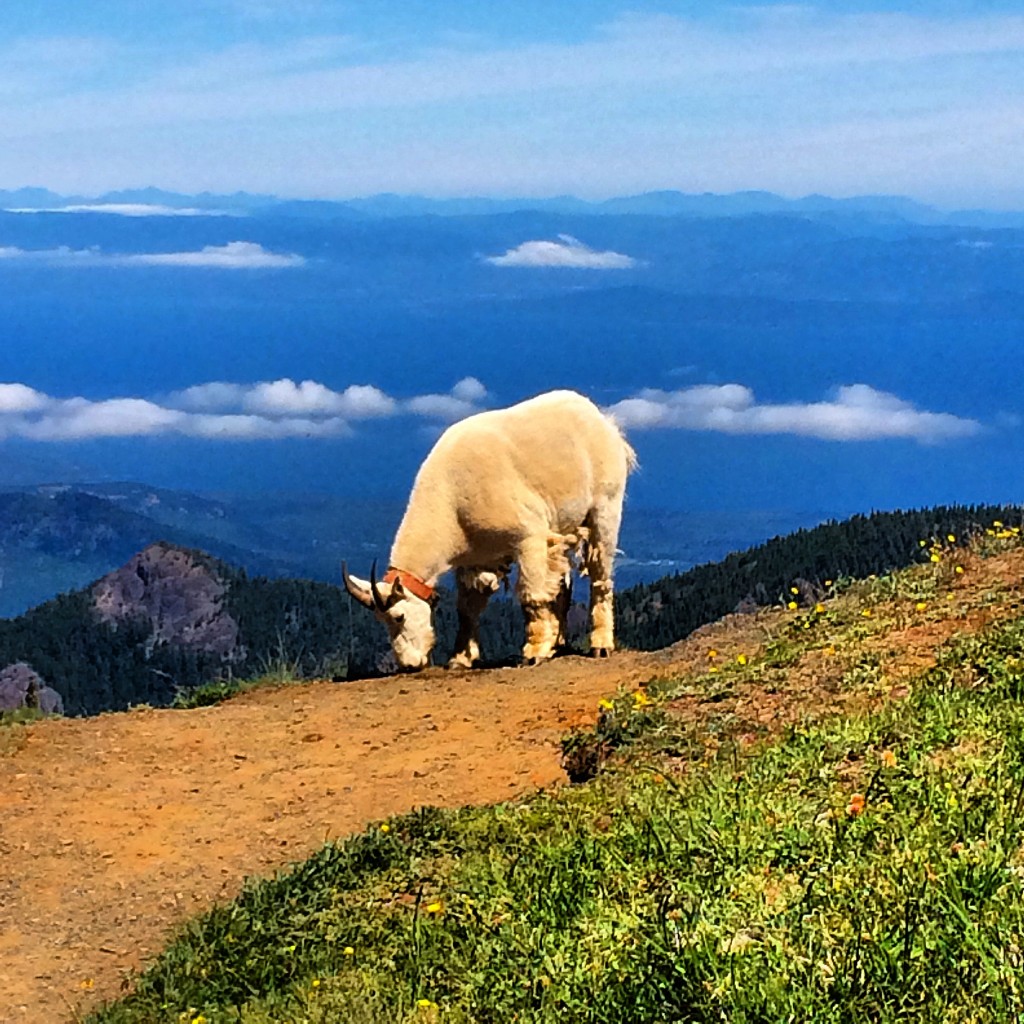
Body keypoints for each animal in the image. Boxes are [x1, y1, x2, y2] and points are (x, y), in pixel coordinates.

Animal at [342, 389, 630, 671]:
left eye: (399, 616)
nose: (410, 664)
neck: (452, 500)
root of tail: (605, 422)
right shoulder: (475, 559)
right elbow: (468, 609)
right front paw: (460, 659)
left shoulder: (529, 537)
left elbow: (532, 595)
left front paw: (534, 653)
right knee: (563, 580)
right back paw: (558, 644)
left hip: (606, 506)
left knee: (600, 574)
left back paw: (600, 645)